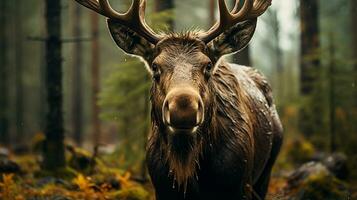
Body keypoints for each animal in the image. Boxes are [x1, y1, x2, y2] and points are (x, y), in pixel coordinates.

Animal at [73, 0, 282, 199]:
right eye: (155, 67)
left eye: (208, 65)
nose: (183, 108)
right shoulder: (161, 189)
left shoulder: (240, 186)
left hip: (266, 171)